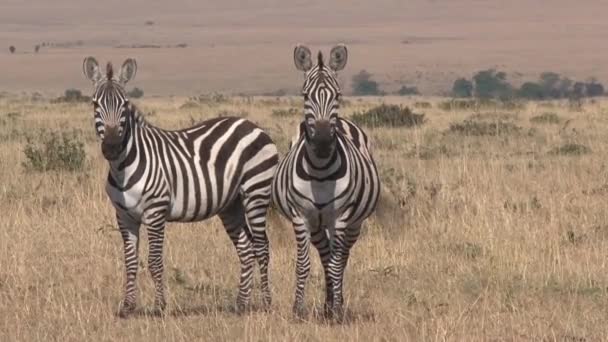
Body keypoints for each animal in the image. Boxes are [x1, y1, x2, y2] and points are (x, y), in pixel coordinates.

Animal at [82, 57, 280, 316]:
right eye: (95, 104)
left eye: (124, 104)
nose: (112, 147)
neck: (122, 166)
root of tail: (251, 125)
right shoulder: (124, 216)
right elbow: (130, 262)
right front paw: (128, 307)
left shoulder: (155, 211)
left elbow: (155, 262)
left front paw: (159, 307)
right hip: (231, 204)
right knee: (246, 250)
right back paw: (240, 304)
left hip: (256, 192)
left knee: (262, 247)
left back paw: (266, 304)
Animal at [272, 44, 380, 320]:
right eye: (305, 95)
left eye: (337, 95)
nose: (321, 141)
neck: (320, 171)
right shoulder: (300, 216)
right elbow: (304, 264)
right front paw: (298, 309)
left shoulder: (342, 216)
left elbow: (337, 263)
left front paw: (338, 310)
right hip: (317, 225)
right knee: (325, 255)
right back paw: (327, 303)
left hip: (352, 224)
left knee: (340, 258)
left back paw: (333, 304)